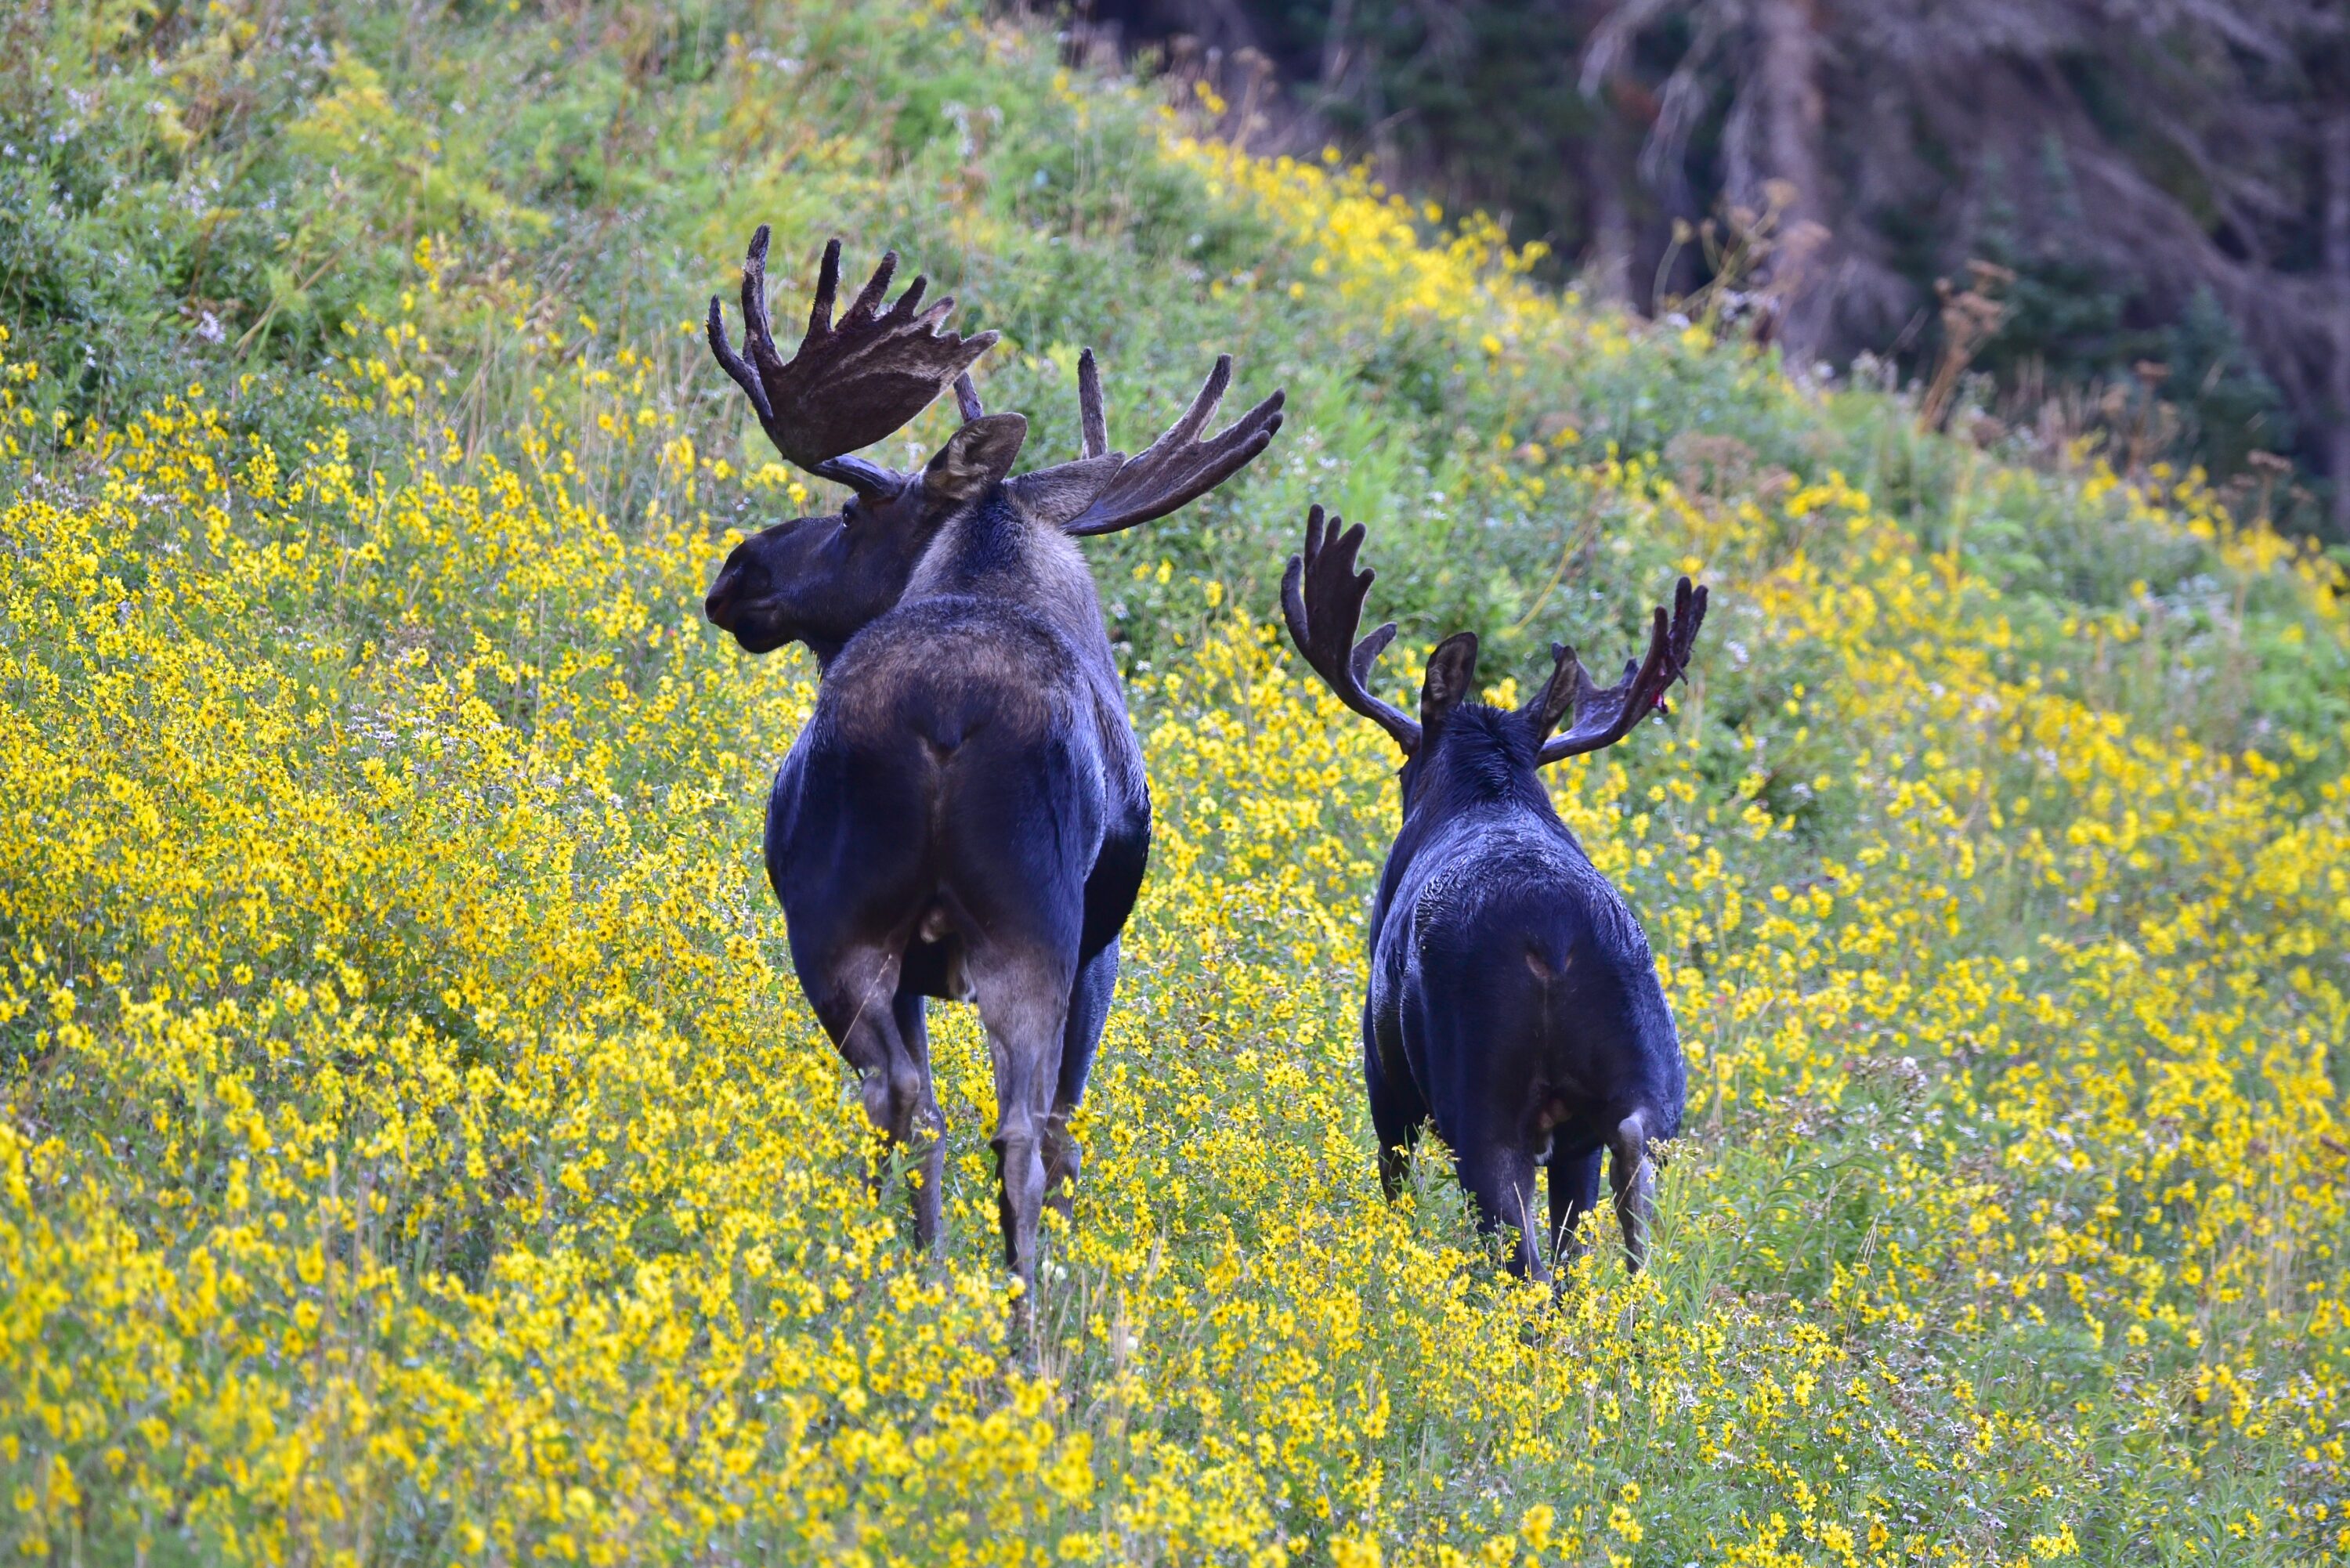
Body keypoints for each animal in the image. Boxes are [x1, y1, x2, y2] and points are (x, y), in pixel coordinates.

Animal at [700, 228, 1283, 1288]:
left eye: (851, 516)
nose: (737, 572)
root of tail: (947, 714)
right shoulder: (1097, 952)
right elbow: (1060, 1134)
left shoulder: (1087, 952)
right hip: (1011, 930)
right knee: (982, 1124)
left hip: (880, 921)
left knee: (921, 1103)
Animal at [1281, 506, 1705, 1278]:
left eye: (1404, 763)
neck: (1490, 795)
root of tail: (1557, 945)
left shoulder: (1383, 1069)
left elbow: (1395, 1182)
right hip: (1641, 1077)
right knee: (1614, 1201)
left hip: (1475, 1093)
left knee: (1521, 1260)